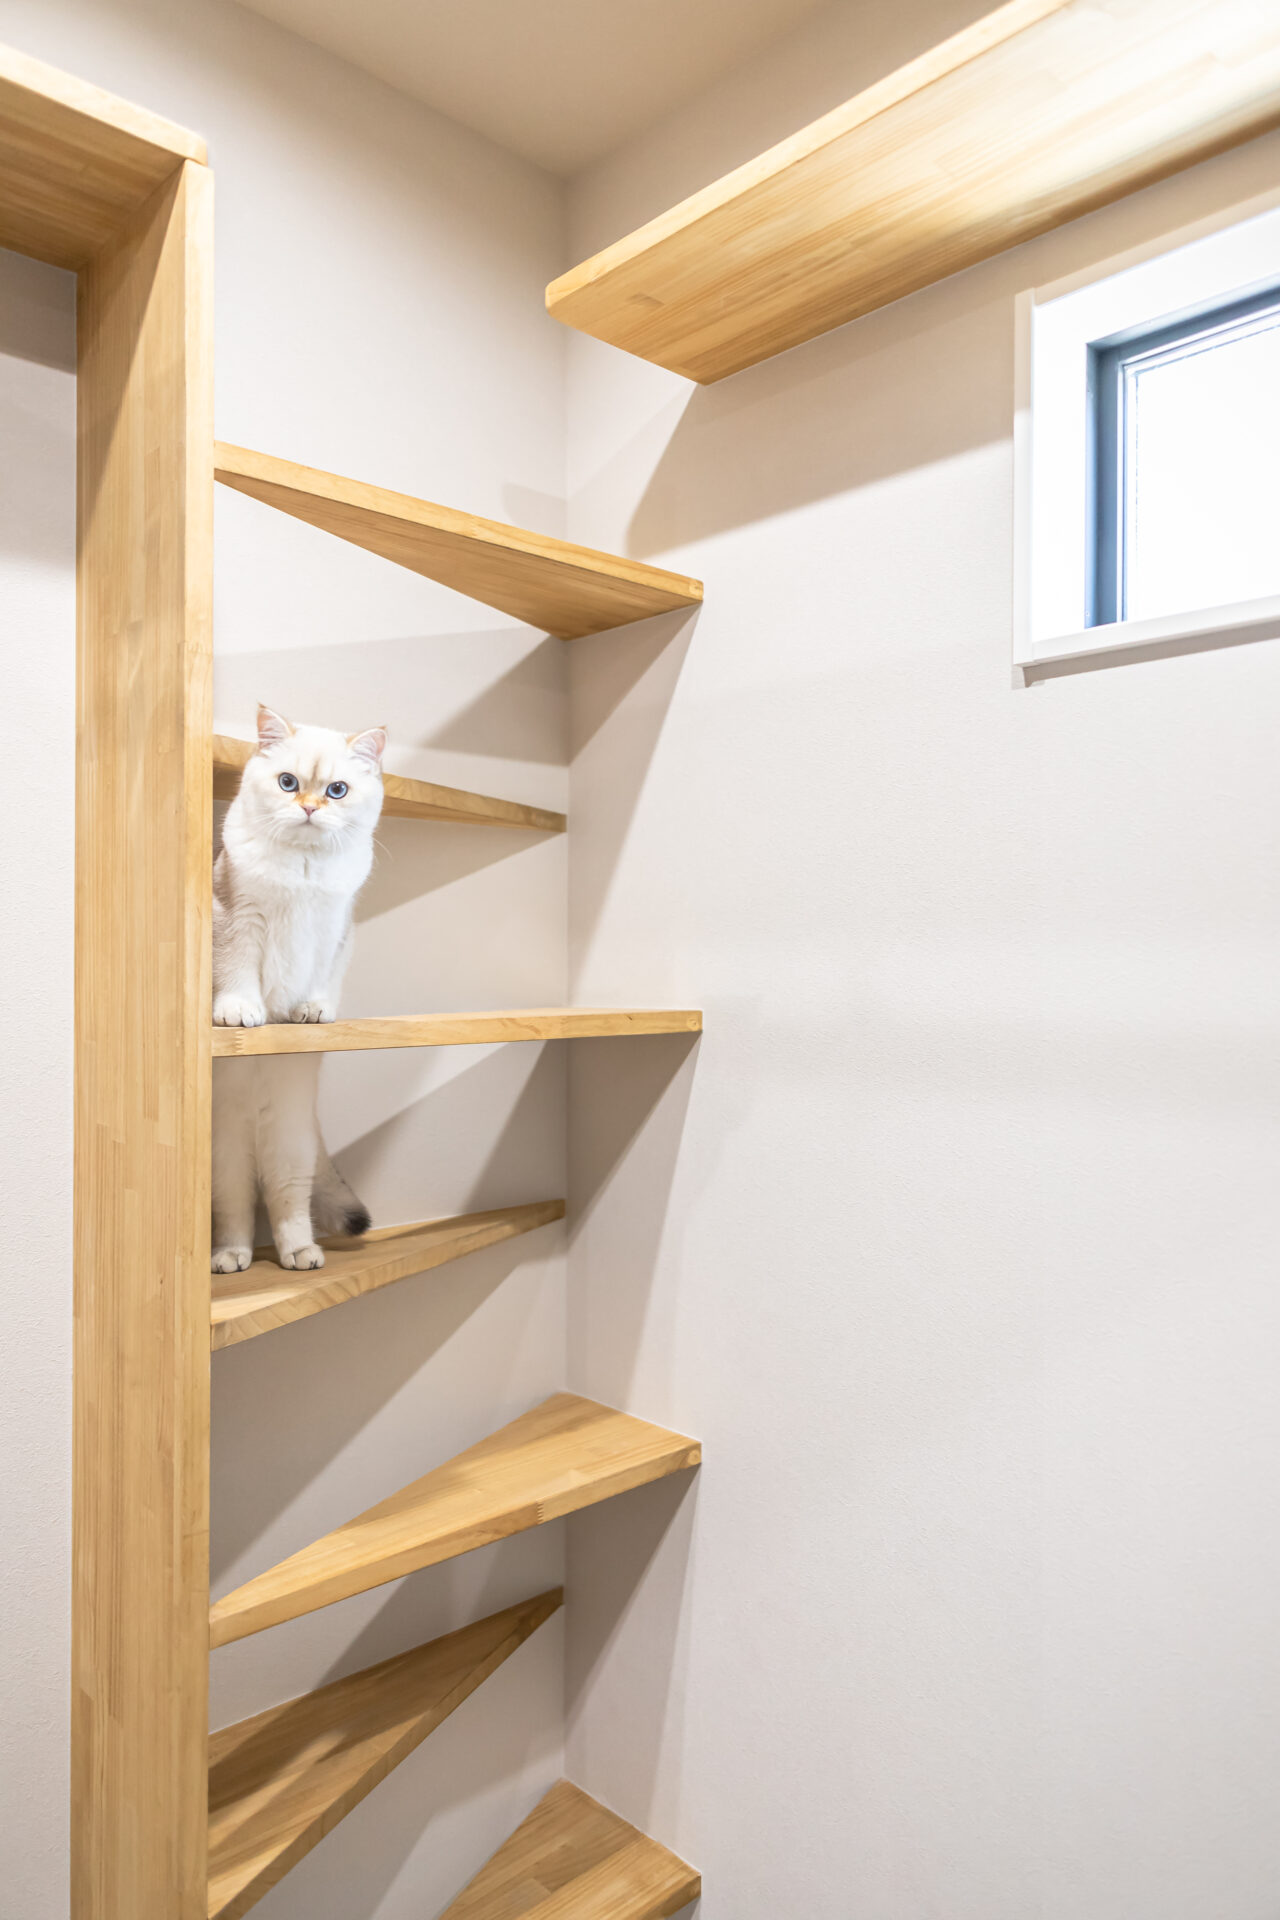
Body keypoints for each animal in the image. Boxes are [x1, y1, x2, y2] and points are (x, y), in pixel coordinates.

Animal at [211, 703, 386, 1275]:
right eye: (287, 783)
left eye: (337, 790)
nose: (309, 808)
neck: (304, 870)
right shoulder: (236, 918)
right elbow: (237, 974)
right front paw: (241, 1013)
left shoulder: (335, 929)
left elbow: (320, 980)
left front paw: (309, 1012)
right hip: (225, 1156)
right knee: (237, 1205)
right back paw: (231, 1257)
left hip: (291, 1144)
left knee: (286, 1196)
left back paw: (300, 1255)